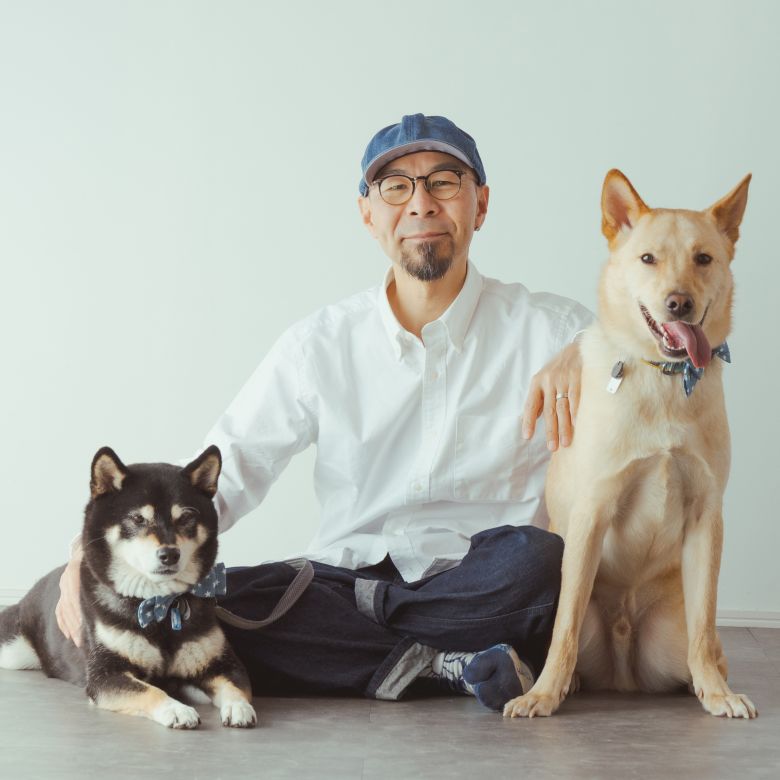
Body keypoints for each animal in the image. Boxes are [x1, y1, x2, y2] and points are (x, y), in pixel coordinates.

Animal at [0, 445, 257, 729]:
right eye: (138, 519)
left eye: (187, 517)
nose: (170, 554)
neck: (160, 604)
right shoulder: (105, 673)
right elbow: (151, 690)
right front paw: (176, 709)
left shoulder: (220, 664)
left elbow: (235, 685)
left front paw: (238, 706)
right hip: (12, 650)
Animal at [504, 170, 757, 719]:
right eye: (648, 259)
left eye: (703, 258)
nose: (679, 303)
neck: (665, 380)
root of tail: (623, 673)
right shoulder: (592, 511)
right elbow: (565, 626)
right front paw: (543, 694)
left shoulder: (707, 515)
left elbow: (705, 623)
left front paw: (718, 694)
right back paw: (568, 682)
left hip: (672, 632)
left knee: (705, 645)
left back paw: (706, 683)